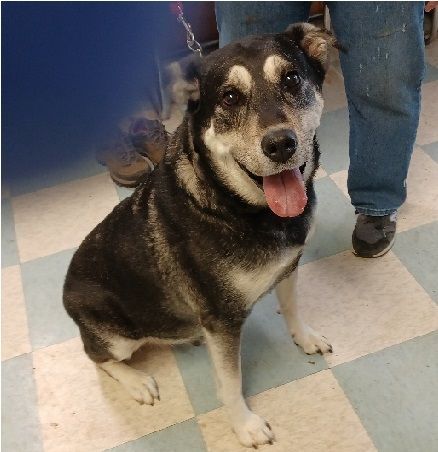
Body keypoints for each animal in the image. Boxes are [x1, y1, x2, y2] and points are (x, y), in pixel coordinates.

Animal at [62, 23, 336, 448]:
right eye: (229, 96)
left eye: (292, 79)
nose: (280, 144)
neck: (240, 207)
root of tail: (65, 292)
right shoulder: (221, 318)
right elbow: (230, 381)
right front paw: (245, 426)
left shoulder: (290, 266)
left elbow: (292, 307)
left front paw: (305, 337)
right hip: (117, 334)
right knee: (97, 357)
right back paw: (137, 381)